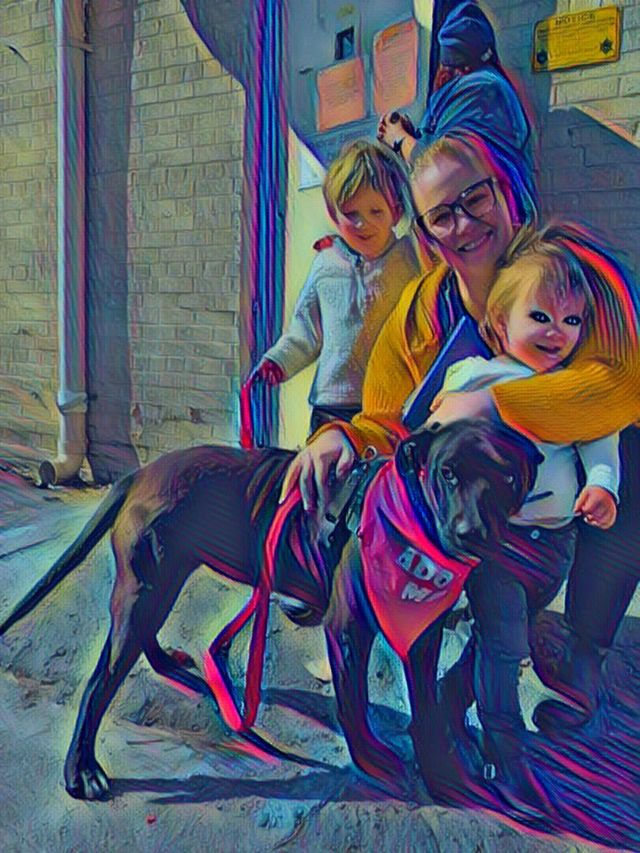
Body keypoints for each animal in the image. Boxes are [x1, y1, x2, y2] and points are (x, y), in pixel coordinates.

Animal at [0, 419, 539, 800]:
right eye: (447, 473)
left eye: (507, 477)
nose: (472, 534)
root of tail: (140, 472)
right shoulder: (348, 628)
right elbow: (353, 700)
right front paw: (372, 760)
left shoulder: (423, 634)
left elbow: (426, 705)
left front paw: (442, 772)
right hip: (148, 586)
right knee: (100, 679)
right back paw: (81, 769)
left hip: (158, 580)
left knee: (136, 639)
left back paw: (163, 662)